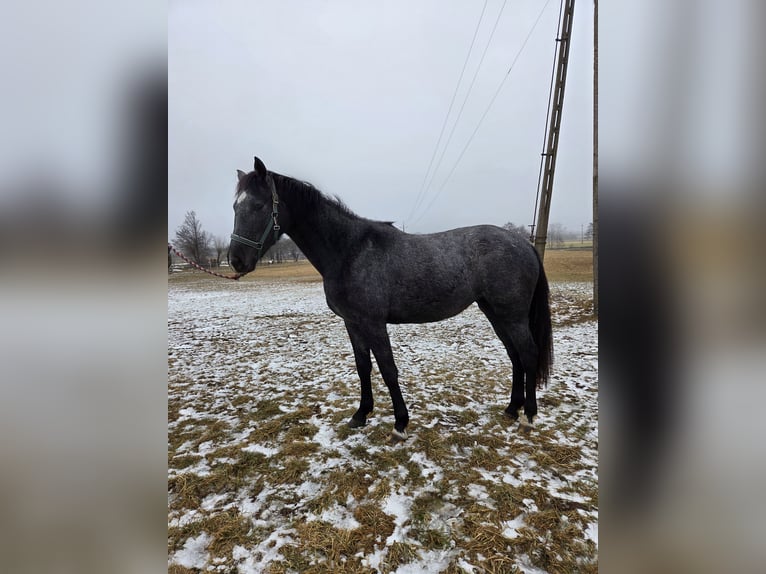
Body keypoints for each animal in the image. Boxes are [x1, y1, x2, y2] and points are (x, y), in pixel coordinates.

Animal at [229, 157, 553, 442]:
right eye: (235, 206)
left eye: (258, 205)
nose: (236, 260)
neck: (349, 250)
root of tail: (522, 243)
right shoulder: (353, 323)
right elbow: (363, 367)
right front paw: (361, 415)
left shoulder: (374, 323)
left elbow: (388, 369)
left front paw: (400, 424)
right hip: (496, 313)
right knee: (514, 355)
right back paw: (511, 409)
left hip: (511, 315)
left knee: (528, 354)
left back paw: (528, 417)